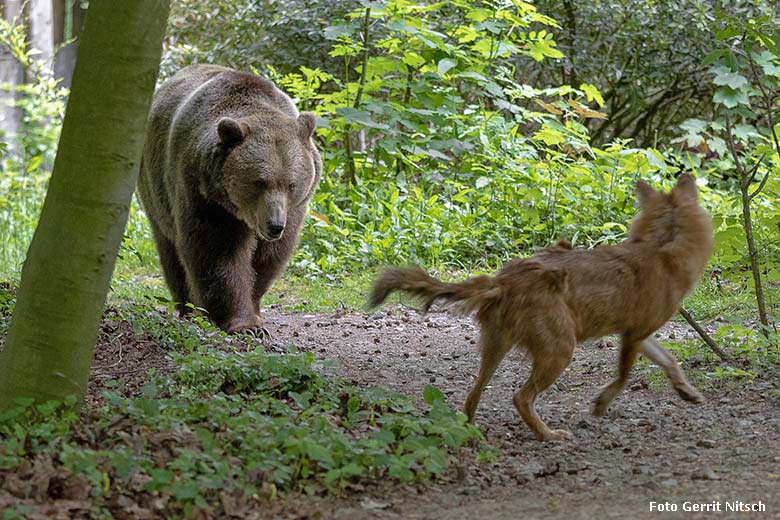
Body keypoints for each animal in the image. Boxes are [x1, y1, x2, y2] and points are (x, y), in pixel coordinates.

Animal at [139, 65, 322, 334]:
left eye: (291, 184)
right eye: (260, 181)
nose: (274, 225)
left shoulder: (294, 210)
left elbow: (268, 258)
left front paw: (254, 309)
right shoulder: (204, 194)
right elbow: (218, 253)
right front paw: (243, 323)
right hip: (154, 187)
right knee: (170, 250)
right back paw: (188, 308)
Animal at [370, 176, 712, 442]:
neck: (662, 248)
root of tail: (502, 279)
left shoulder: (638, 334)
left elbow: (670, 361)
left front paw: (688, 392)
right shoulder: (632, 335)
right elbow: (624, 377)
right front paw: (600, 404)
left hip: (495, 352)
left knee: (470, 399)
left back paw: (471, 432)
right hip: (561, 351)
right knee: (519, 397)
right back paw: (548, 435)